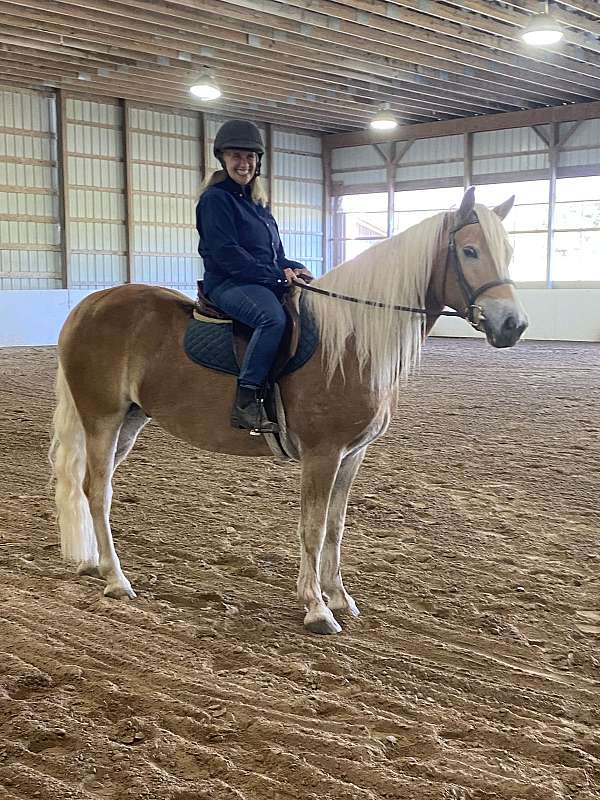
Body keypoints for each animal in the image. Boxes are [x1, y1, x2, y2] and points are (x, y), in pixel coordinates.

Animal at [49, 187, 528, 635]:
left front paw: (338, 597)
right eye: (470, 251)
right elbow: (311, 527)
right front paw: (316, 608)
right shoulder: (323, 453)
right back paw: (116, 580)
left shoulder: (353, 454)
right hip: (103, 419)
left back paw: (93, 563)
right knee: (98, 492)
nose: (513, 325)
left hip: (129, 421)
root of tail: (89, 305)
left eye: (509, 251)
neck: (350, 342)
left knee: (90, 488)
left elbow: (335, 526)